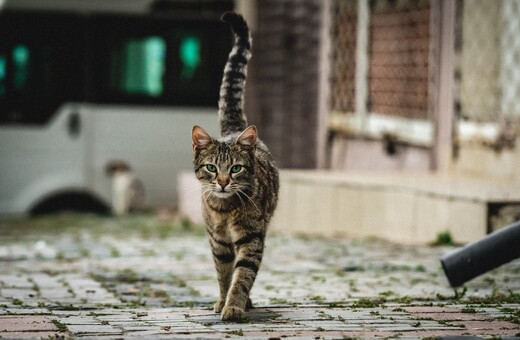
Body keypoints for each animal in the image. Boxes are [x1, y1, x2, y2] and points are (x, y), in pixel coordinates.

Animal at [192, 12, 280, 322]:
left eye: (236, 169)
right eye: (211, 168)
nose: (222, 182)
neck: (224, 210)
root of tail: (234, 129)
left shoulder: (252, 237)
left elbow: (243, 275)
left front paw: (234, 305)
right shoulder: (218, 242)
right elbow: (223, 273)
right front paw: (222, 300)